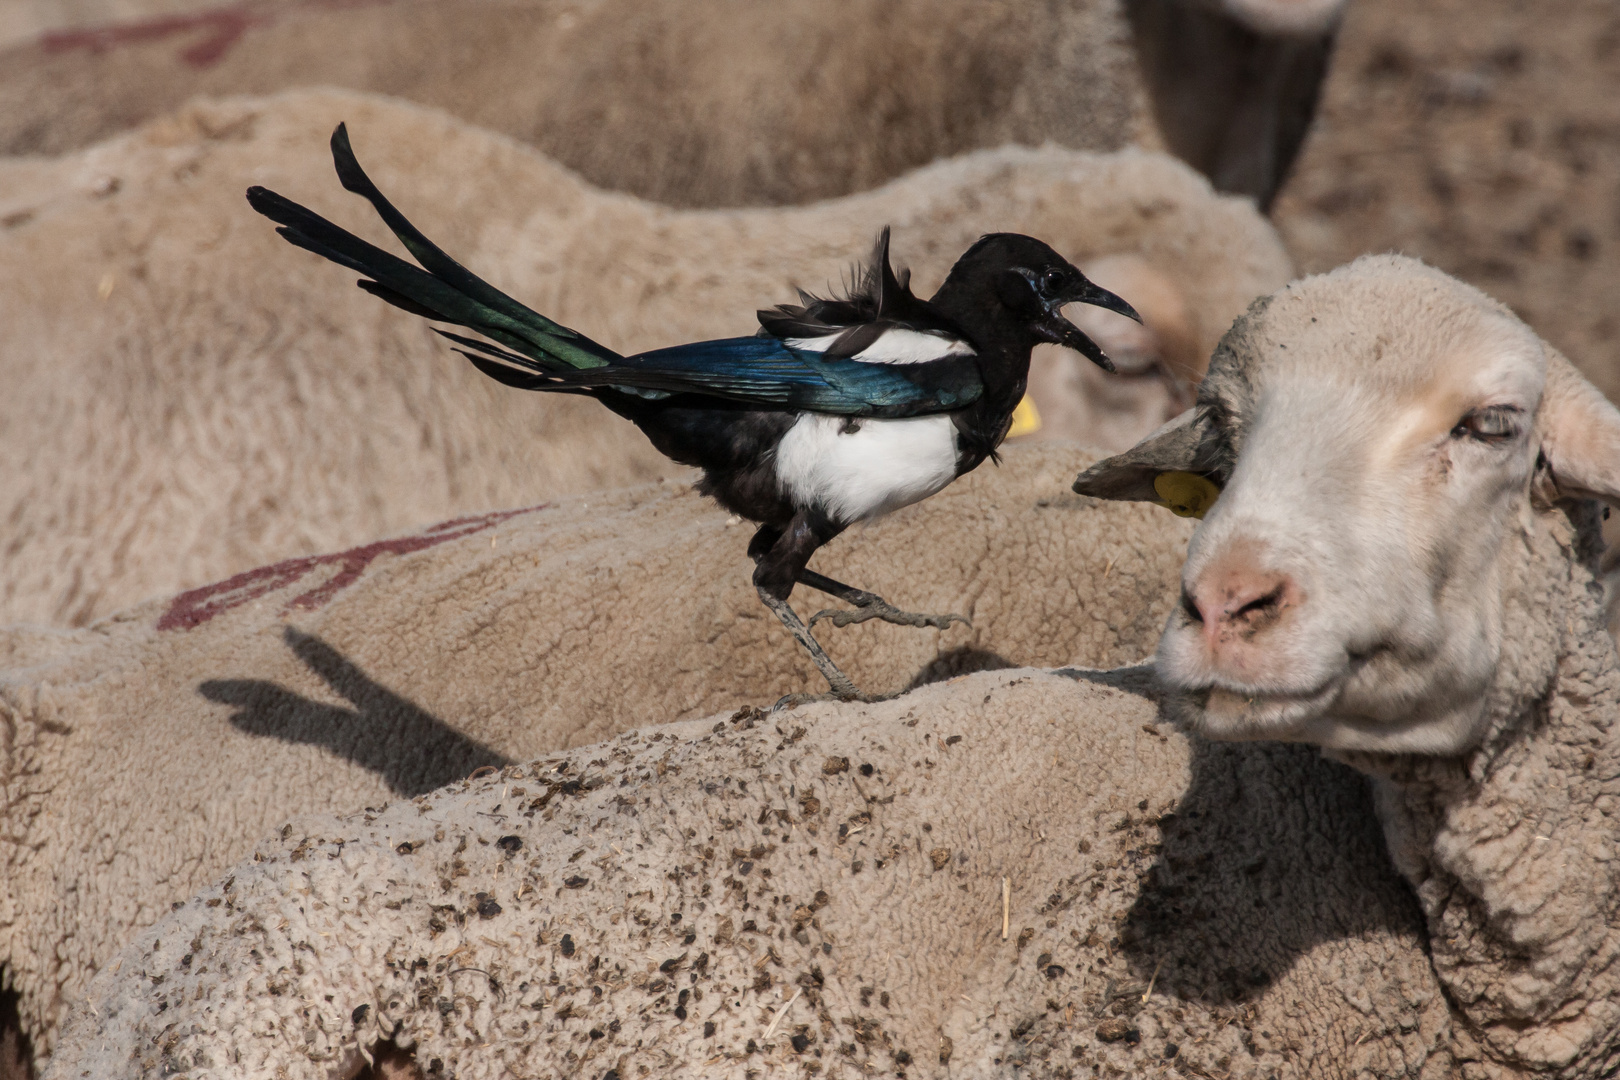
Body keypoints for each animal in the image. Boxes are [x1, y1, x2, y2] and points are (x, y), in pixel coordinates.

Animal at [0, 88, 1289, 628]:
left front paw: (886, 610)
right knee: (770, 566)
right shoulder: (870, 423)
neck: (974, 340)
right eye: (1052, 282)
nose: (1105, 302)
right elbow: (781, 579)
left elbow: (814, 572)